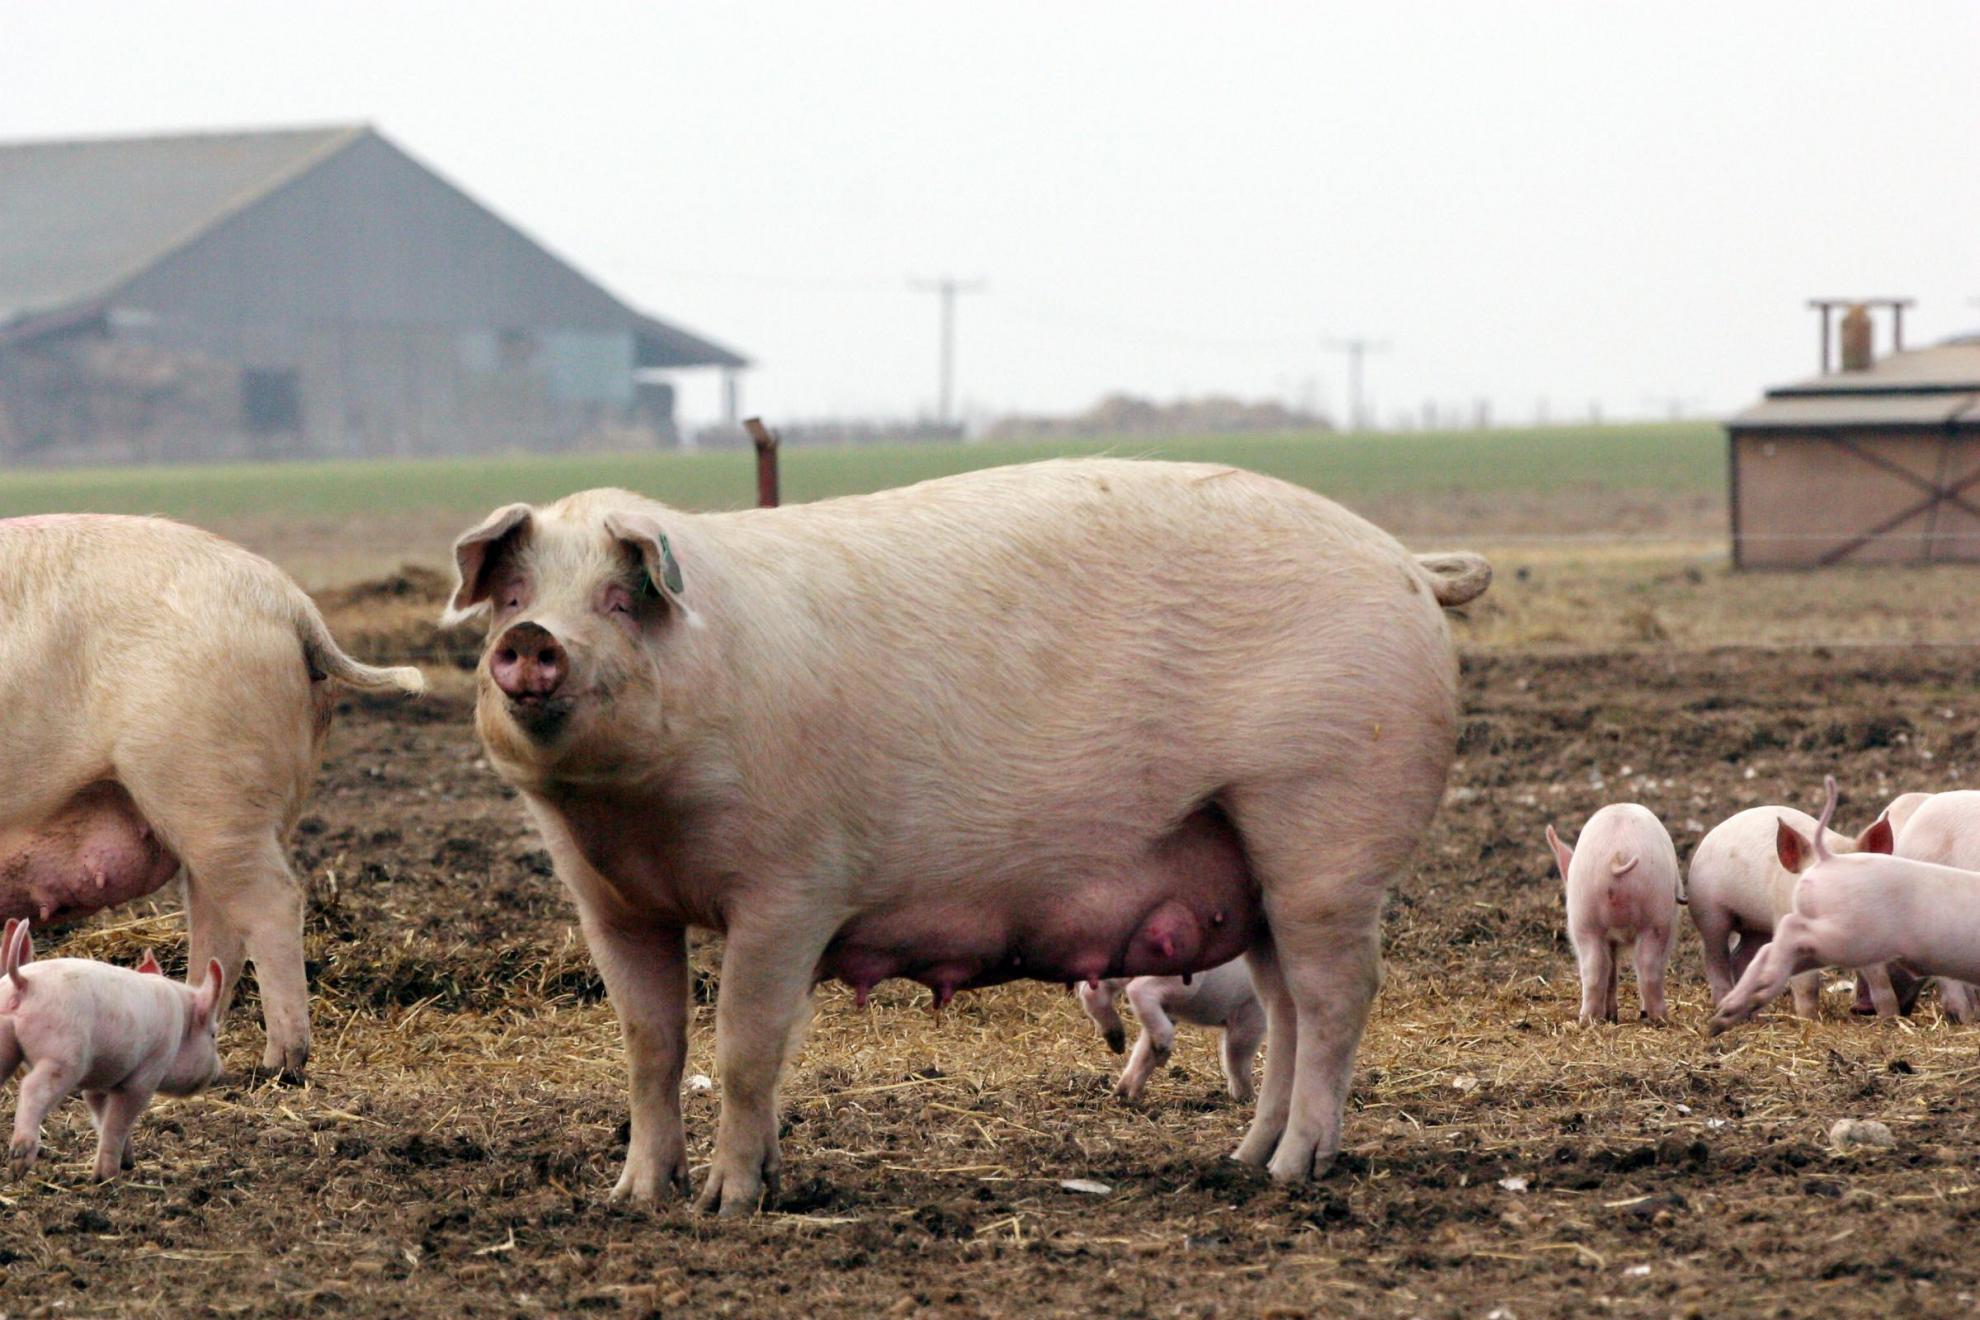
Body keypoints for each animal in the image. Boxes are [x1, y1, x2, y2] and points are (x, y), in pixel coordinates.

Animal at [0, 514, 424, 1079]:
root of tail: (292, 603)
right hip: (224, 807)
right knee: (220, 924)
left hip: (204, 786)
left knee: (272, 904)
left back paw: (279, 1065)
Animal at [0, 920, 225, 1179]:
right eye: (213, 1034)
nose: (219, 1072)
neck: (180, 1026)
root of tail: (23, 981)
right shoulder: (147, 1073)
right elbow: (118, 1121)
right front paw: (106, 1177)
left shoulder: (99, 1080)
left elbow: (101, 1116)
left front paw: (127, 1162)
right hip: (62, 1055)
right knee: (32, 1089)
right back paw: (18, 1166)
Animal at [1077, 959, 1265, 1101]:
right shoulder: (1251, 1012)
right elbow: (1237, 1055)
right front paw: (1247, 1097)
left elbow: (1143, 1052)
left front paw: (1126, 1096)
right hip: (1181, 976)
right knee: (1138, 989)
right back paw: (1163, 1047)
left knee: (1091, 990)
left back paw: (1118, 1044)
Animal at [1543, 805, 1680, 1025]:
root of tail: (1617, 854)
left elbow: (1612, 971)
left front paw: (1611, 1016)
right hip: (1658, 915)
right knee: (1649, 966)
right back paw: (1658, 1019)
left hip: (1585, 914)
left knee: (1595, 969)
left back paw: (1588, 1020)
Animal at [1686, 804, 1903, 1018]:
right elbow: (1807, 984)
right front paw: (1809, 1019)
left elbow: (1880, 978)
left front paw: (1890, 1018)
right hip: (1709, 913)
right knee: (1715, 956)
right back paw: (1723, 1003)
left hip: (1758, 928)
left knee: (1741, 957)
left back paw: (1755, 1017)